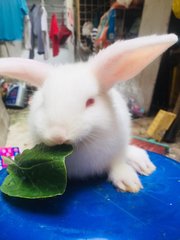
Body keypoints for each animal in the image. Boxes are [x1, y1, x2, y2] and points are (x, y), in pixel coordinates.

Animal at [0, 33, 177, 192]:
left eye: (90, 102)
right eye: (43, 101)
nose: (57, 136)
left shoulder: (116, 151)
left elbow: (117, 164)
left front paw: (129, 183)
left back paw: (144, 165)